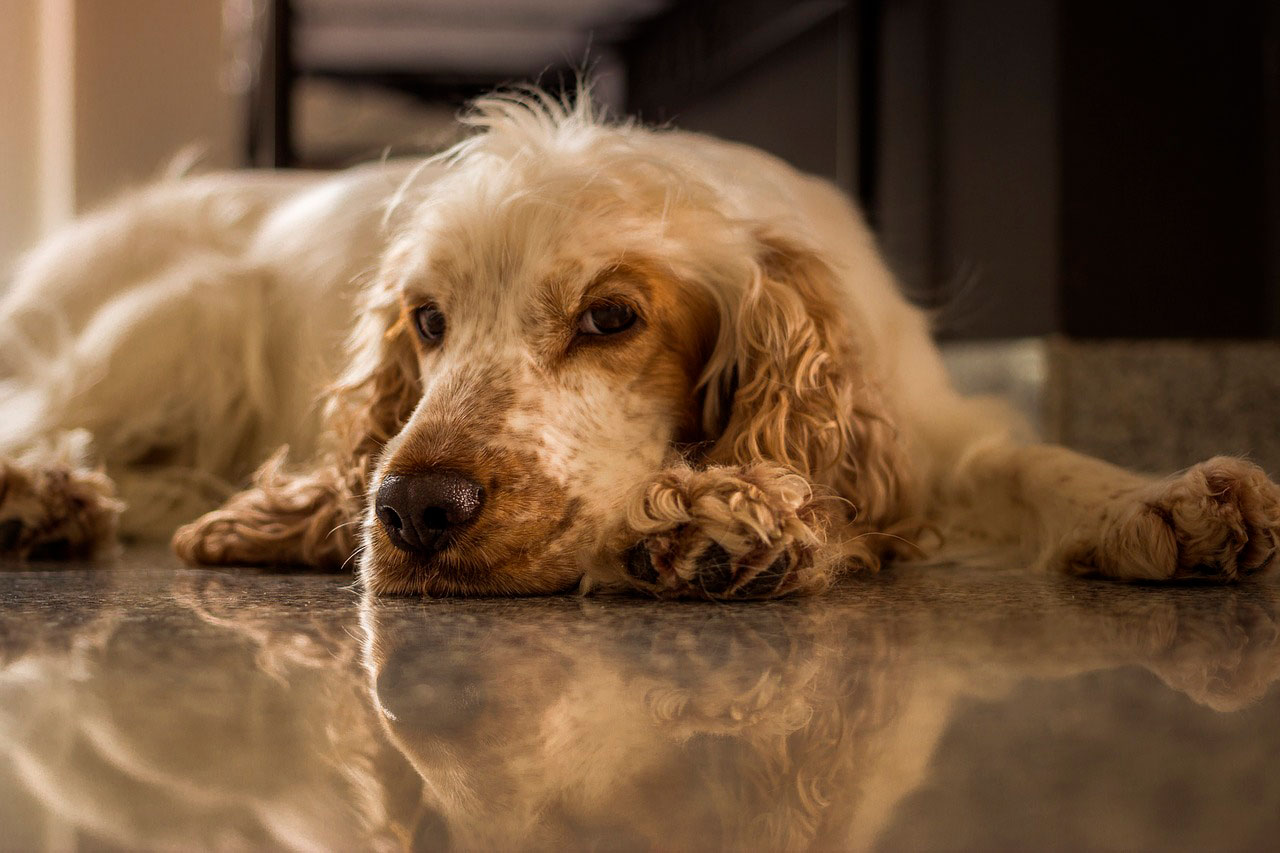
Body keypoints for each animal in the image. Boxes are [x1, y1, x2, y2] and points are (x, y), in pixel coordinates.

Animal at [2, 86, 1280, 591]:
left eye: (610, 318)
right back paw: (43, 495)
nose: (413, 511)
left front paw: (1158, 501)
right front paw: (703, 522)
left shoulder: (921, 429)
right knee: (43, 414)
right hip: (177, 321)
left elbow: (1028, 462)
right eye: (427, 321)